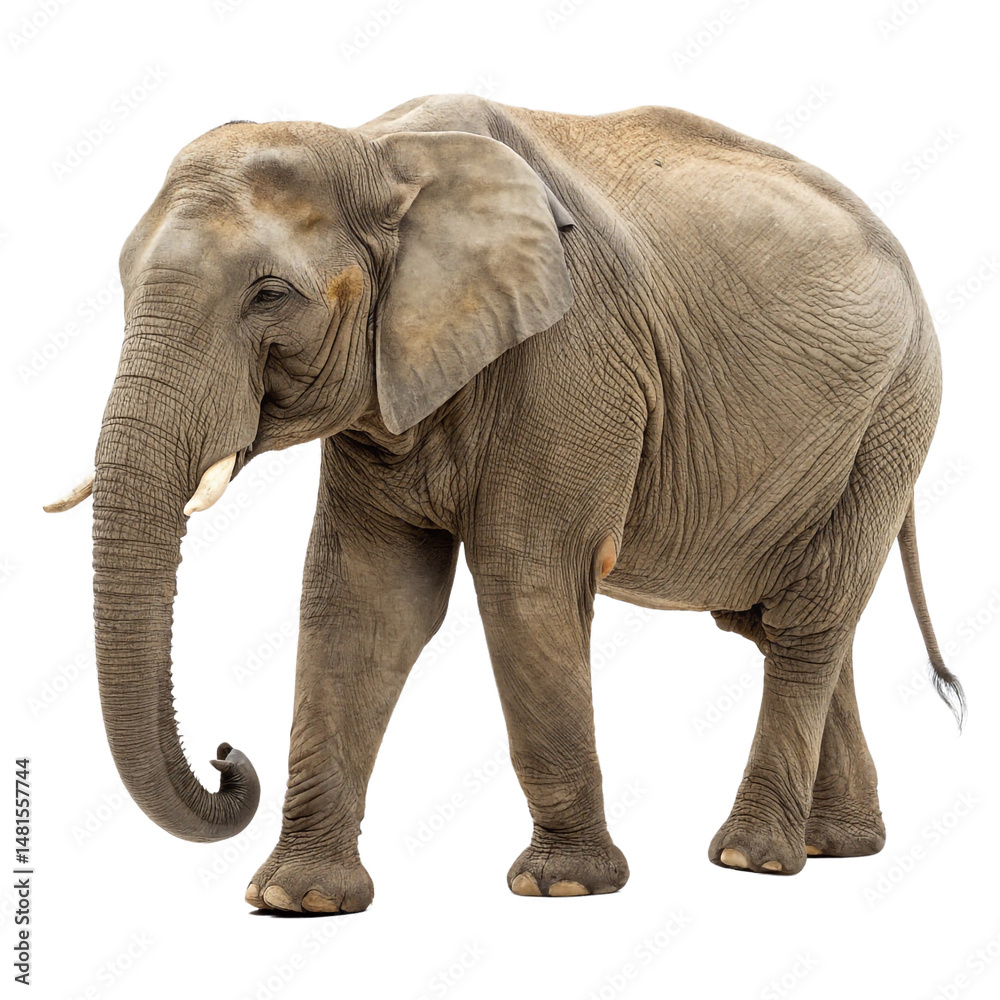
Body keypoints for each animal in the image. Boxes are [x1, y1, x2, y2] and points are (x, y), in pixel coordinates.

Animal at [45, 93, 963, 913]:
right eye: (121, 281)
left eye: (269, 295)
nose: (228, 753)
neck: (379, 148)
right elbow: (366, 598)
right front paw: (294, 900)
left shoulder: (571, 356)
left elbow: (526, 584)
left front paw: (562, 885)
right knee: (780, 623)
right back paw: (837, 846)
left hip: (893, 413)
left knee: (807, 621)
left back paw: (752, 858)